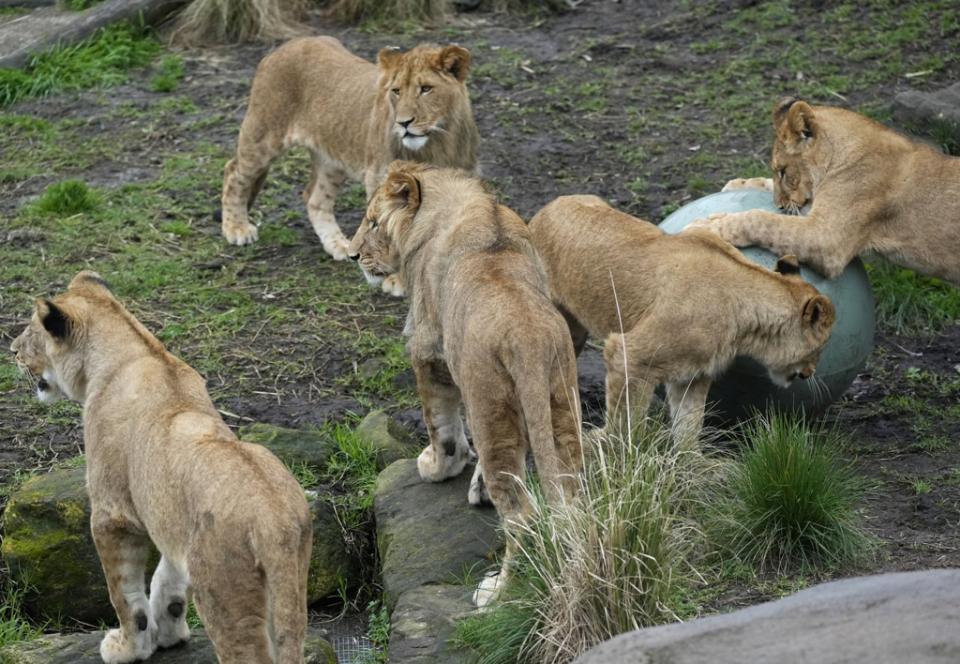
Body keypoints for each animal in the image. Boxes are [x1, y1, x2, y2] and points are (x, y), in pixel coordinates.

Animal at [10, 270, 312, 664]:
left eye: (31, 331)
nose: (12, 351)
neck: (139, 350)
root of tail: (274, 520)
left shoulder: (113, 514)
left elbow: (124, 596)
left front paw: (127, 647)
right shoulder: (169, 522)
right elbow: (166, 581)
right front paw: (169, 633)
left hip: (227, 597)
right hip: (292, 584)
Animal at [223, 36, 480, 282]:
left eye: (426, 89)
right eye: (396, 91)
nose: (403, 123)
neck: (438, 141)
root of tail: (285, 46)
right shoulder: (379, 178)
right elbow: (387, 228)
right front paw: (395, 280)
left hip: (332, 158)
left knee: (315, 199)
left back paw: (337, 244)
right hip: (263, 135)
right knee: (233, 172)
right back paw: (236, 229)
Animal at [346, 162, 580, 608]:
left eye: (372, 221)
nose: (352, 255)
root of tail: (527, 338)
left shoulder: (427, 349)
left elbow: (442, 425)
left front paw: (437, 467)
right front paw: (477, 487)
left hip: (491, 407)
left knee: (522, 515)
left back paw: (496, 590)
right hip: (560, 406)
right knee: (570, 495)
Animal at [528, 196, 836, 446]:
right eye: (820, 349)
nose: (810, 373)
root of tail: (546, 209)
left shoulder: (693, 375)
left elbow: (689, 424)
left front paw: (692, 467)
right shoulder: (628, 355)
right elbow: (625, 422)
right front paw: (615, 454)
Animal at [688, 98, 960, 286]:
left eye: (784, 171)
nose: (778, 204)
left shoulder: (827, 238)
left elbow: (762, 219)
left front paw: (705, 227)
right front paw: (737, 184)